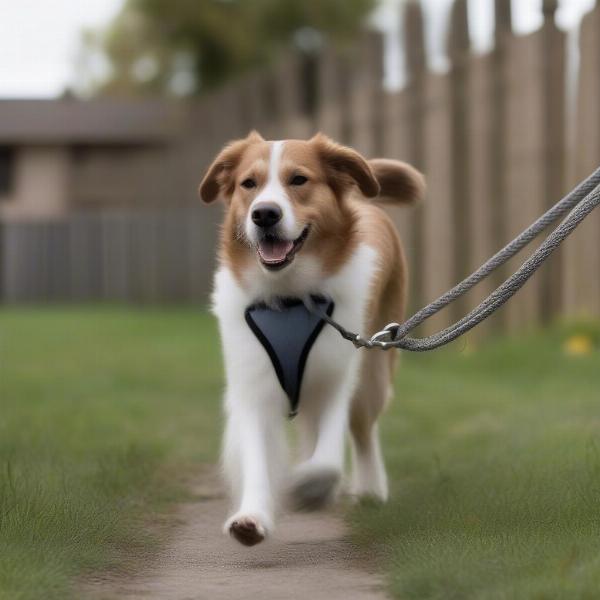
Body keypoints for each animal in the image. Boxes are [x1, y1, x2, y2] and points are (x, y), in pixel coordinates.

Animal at [199, 132, 424, 548]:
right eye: (248, 184)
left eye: (299, 179)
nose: (264, 214)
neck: (289, 296)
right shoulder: (251, 386)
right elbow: (256, 455)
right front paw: (252, 516)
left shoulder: (336, 375)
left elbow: (329, 456)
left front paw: (308, 487)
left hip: (374, 370)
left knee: (363, 430)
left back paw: (370, 487)